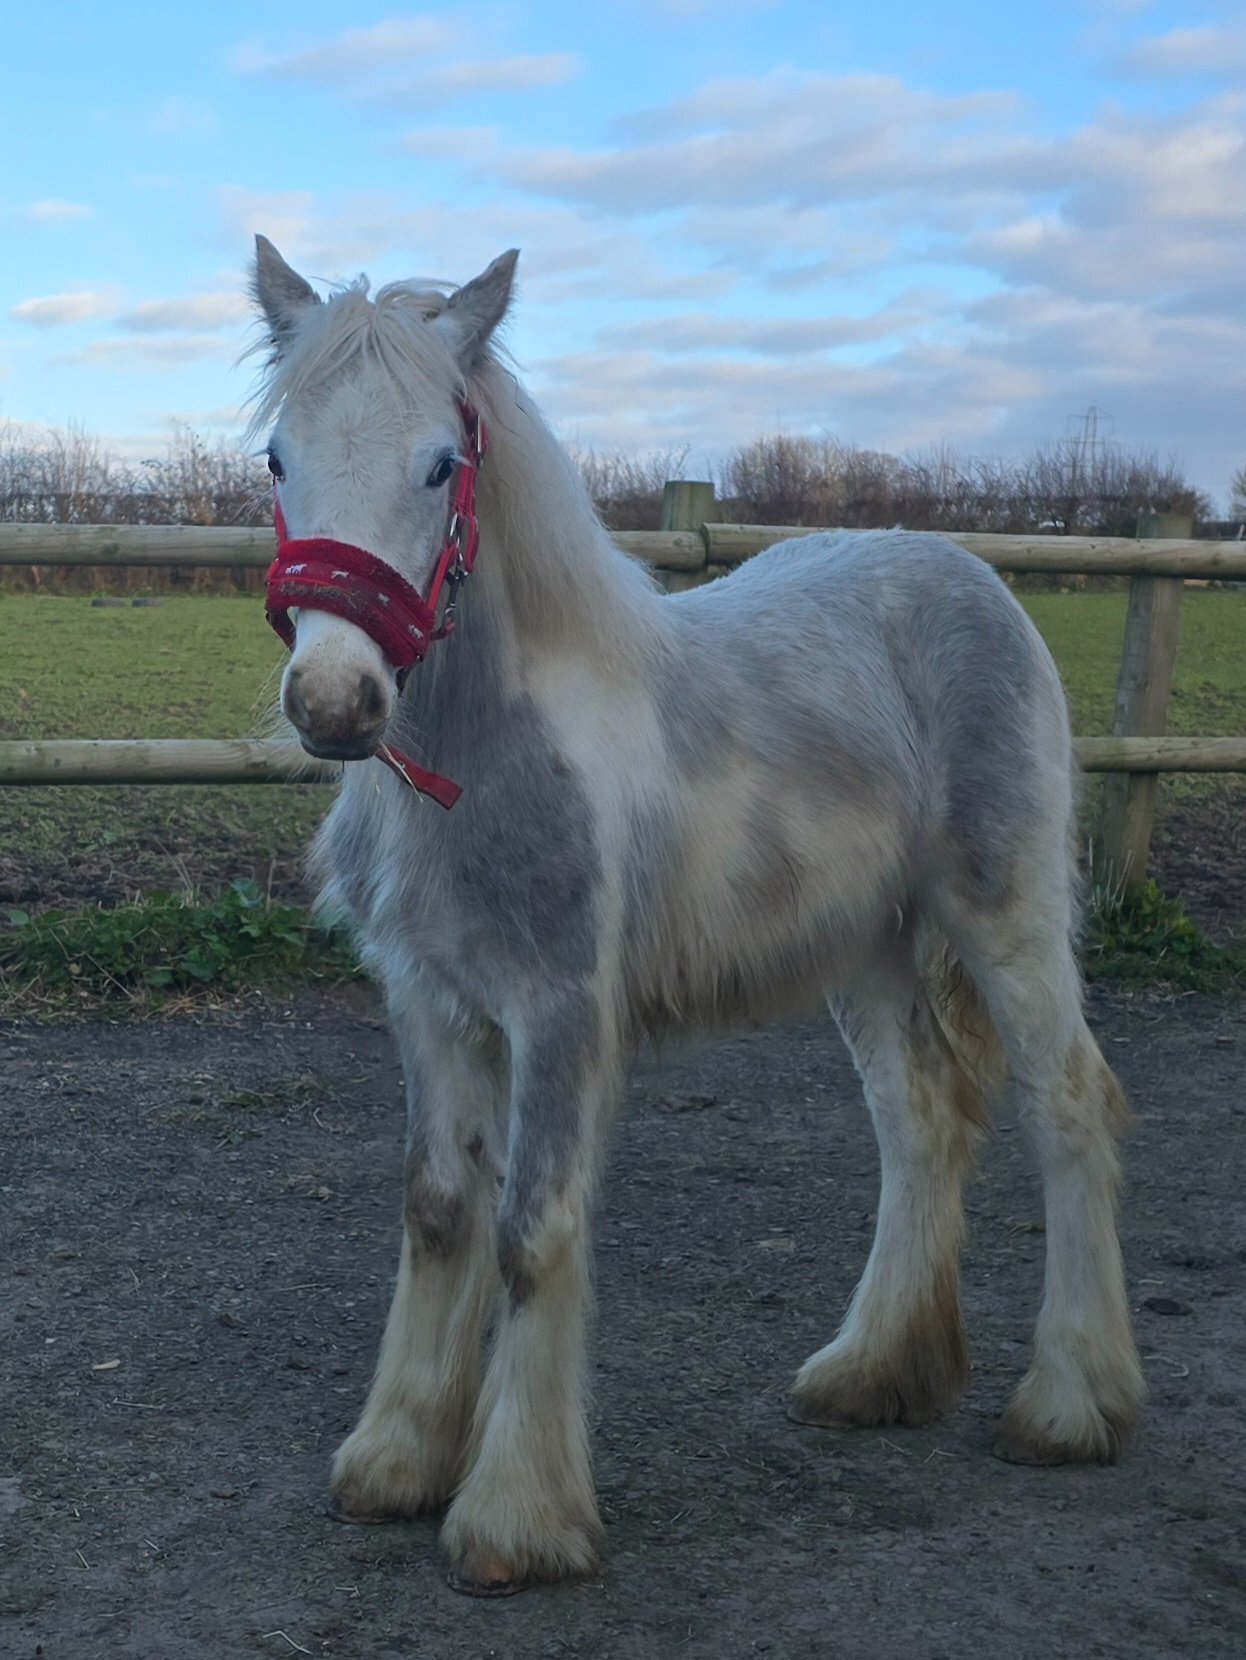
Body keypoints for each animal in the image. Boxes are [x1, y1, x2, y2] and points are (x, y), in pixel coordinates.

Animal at [248, 236, 1143, 1596]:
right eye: (277, 458)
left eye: (440, 462)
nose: (336, 701)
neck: (488, 749)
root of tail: (966, 573)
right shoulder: (433, 1004)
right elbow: (440, 1209)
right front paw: (396, 1458)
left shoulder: (562, 1010)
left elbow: (530, 1229)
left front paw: (515, 1516)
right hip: (872, 950)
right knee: (921, 1119)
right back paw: (875, 1372)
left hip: (1008, 916)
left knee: (1069, 1103)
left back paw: (1071, 1404)